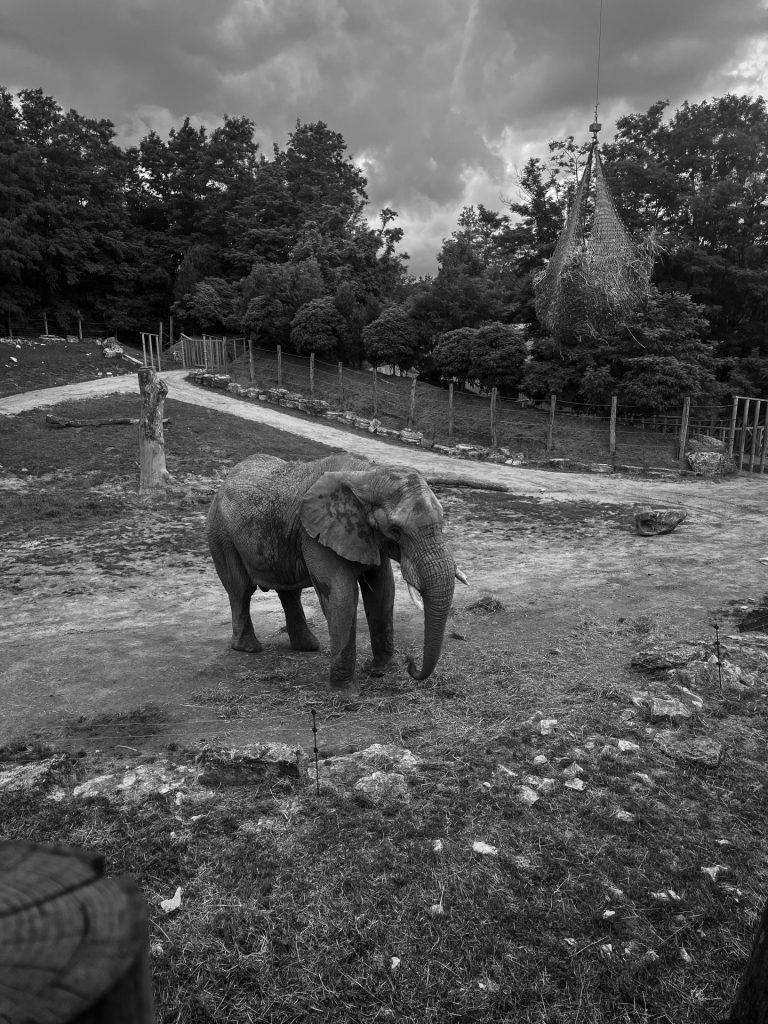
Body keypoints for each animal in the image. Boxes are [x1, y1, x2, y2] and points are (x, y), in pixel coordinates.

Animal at [207, 453, 463, 692]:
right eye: (395, 530)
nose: (410, 664)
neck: (367, 474)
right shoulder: (315, 533)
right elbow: (341, 598)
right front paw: (345, 694)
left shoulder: (367, 537)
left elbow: (383, 592)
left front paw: (379, 672)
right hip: (220, 533)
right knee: (241, 590)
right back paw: (249, 648)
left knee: (289, 591)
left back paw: (308, 647)